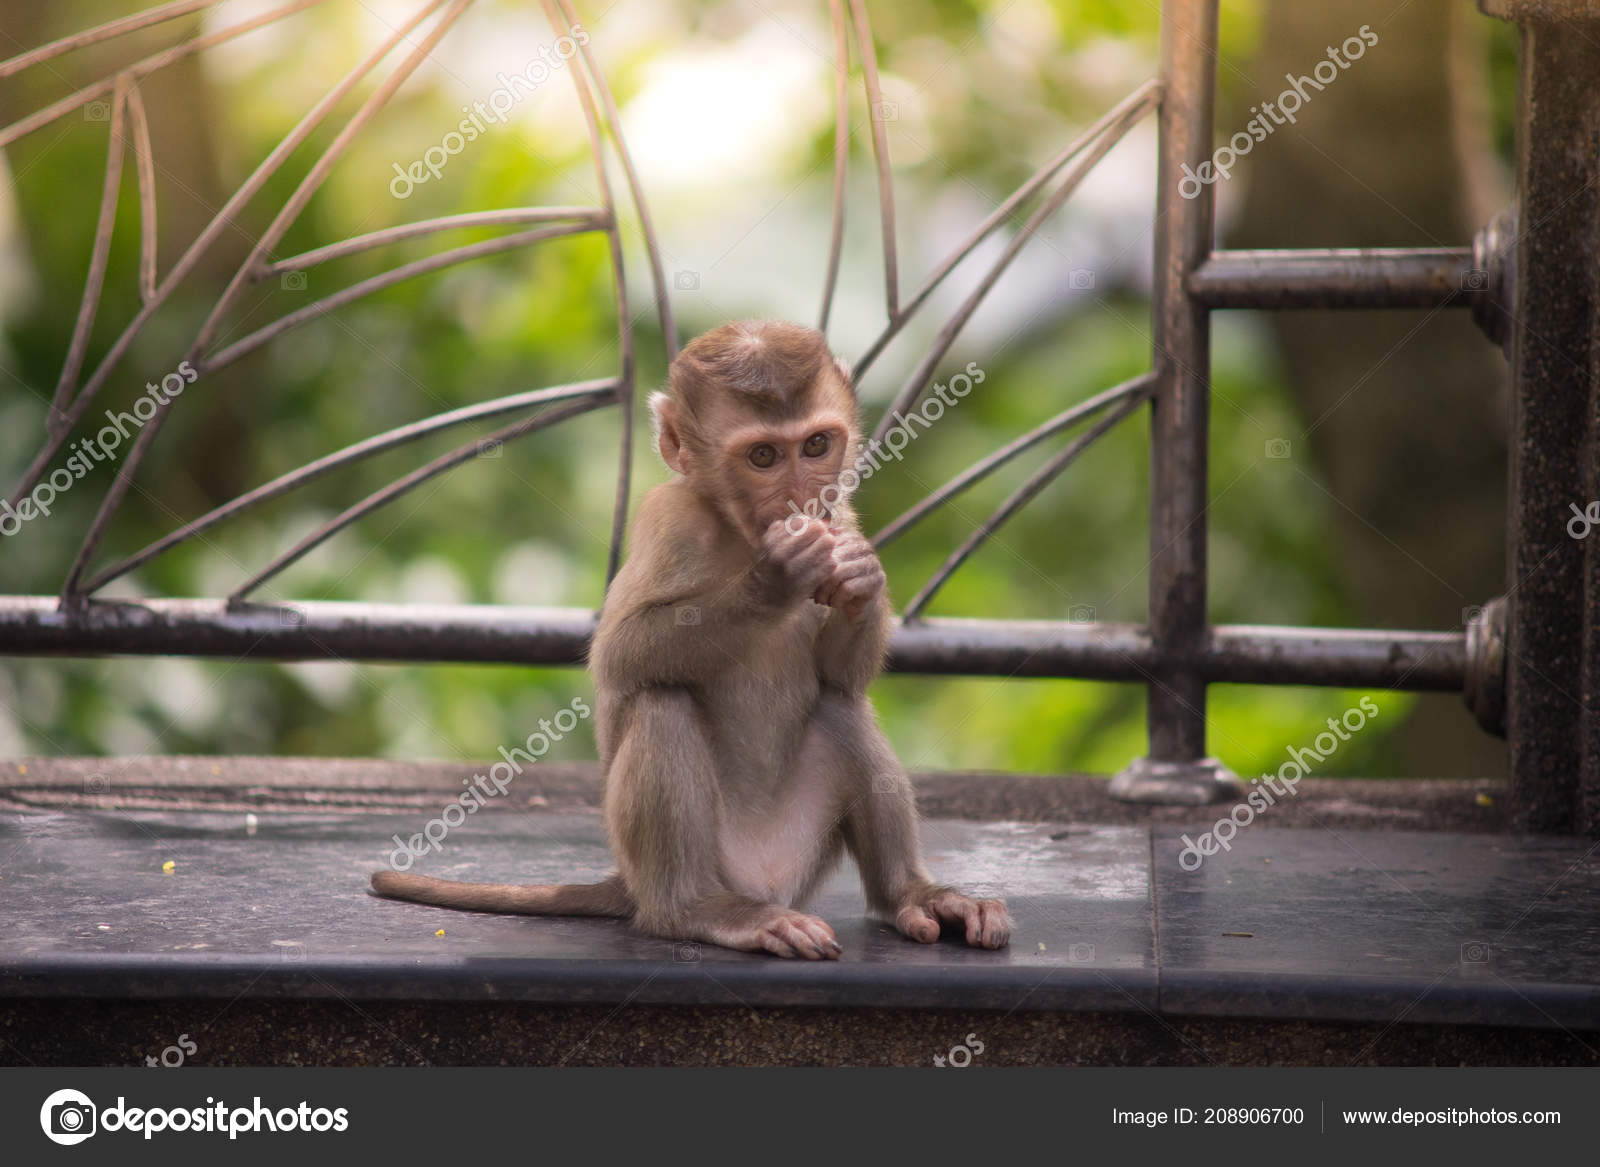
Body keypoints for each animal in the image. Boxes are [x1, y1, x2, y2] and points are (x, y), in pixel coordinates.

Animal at [372, 320, 1010, 959]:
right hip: (700, 866)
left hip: (802, 855)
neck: (737, 532)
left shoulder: (842, 514)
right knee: (661, 702)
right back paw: (701, 911)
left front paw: (860, 577)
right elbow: (621, 653)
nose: (802, 497)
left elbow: (840, 675)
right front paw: (776, 577)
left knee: (841, 708)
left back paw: (913, 895)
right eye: (762, 456)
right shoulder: (668, 519)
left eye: (815, 446)